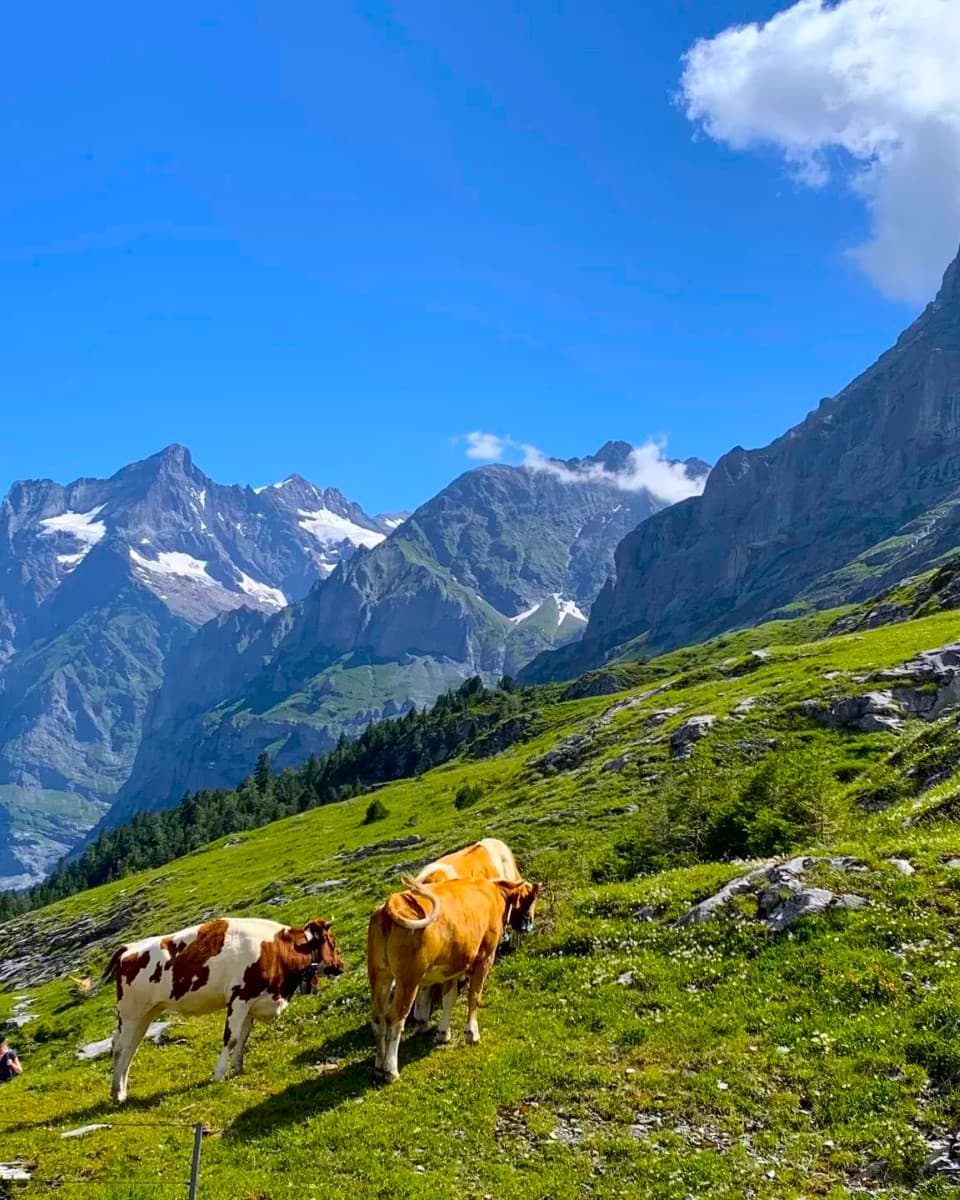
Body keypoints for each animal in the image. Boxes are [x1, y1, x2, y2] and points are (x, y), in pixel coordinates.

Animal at [100, 912, 340, 1099]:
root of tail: (129, 948)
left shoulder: (251, 1002)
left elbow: (243, 1036)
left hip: (146, 1013)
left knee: (128, 1047)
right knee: (121, 1047)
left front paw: (237, 1067)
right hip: (132, 1013)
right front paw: (219, 1074)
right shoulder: (240, 997)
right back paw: (117, 1093)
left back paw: (120, 1092)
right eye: (333, 943)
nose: (341, 965)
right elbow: (231, 1038)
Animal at [367, 873, 540, 1080]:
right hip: (408, 980)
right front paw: (471, 1033)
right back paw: (391, 1070)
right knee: (394, 1018)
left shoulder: (451, 967)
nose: (529, 926)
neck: (495, 894)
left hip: (379, 975)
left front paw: (443, 1032)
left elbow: (449, 998)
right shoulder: (485, 958)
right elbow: (474, 996)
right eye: (531, 900)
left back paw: (378, 1066)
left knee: (378, 1018)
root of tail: (391, 902)